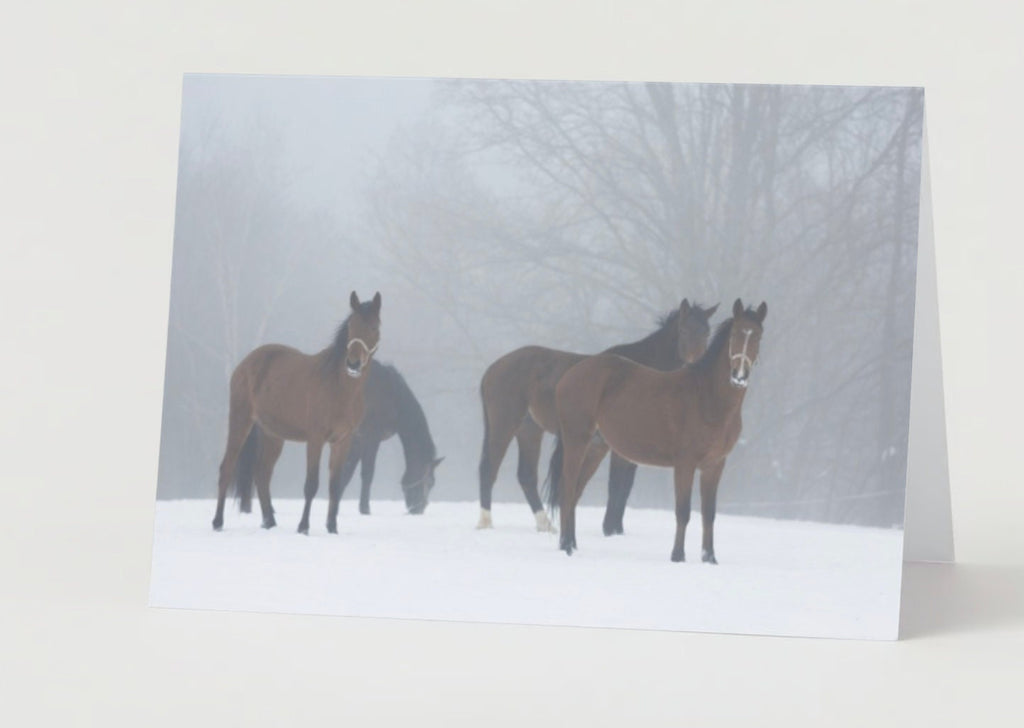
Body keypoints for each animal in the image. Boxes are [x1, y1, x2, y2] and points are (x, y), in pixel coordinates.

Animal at [211, 291, 382, 534]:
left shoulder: (342, 441)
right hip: (240, 421)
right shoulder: (316, 439)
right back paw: (218, 521)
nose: (353, 364)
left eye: (374, 327)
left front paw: (332, 527)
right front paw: (303, 527)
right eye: (351, 326)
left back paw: (269, 522)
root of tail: (245, 364)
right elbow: (311, 484)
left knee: (262, 474)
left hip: (273, 435)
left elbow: (334, 485)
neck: (339, 387)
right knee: (227, 467)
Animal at [236, 359, 443, 516]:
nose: (418, 509)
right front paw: (364, 509)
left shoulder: (357, 441)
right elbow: (367, 473)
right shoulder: (371, 438)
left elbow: (346, 472)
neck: (391, 394)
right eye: (430, 482)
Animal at [477, 299, 717, 533]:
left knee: (526, 476)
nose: (697, 366)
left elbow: (625, 487)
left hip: (530, 430)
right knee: (489, 469)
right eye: (683, 330)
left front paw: (616, 529)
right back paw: (486, 522)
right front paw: (610, 529)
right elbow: (617, 486)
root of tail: (492, 369)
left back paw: (545, 525)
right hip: (505, 424)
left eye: (707, 332)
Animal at [548, 299, 766, 563]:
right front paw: (678, 556)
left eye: (759, 336)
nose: (739, 375)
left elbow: (709, 514)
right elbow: (683, 512)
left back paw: (570, 543)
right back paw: (566, 546)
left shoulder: (714, 466)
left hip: (595, 448)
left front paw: (709, 558)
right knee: (567, 487)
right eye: (734, 333)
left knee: (575, 491)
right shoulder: (685, 464)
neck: (707, 398)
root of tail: (571, 374)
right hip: (577, 441)